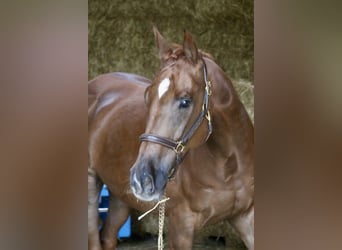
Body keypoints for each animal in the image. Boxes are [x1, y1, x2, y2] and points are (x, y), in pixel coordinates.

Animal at [89, 27, 254, 250]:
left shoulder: (246, 217)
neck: (229, 165)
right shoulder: (181, 225)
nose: (142, 179)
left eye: (185, 101)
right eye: (147, 96)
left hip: (119, 196)